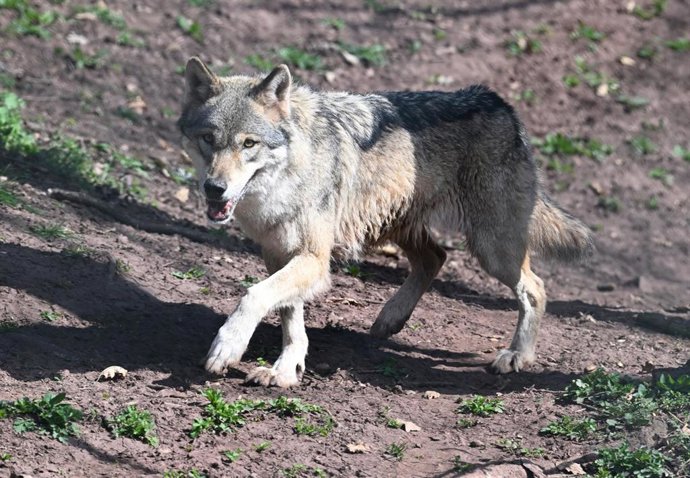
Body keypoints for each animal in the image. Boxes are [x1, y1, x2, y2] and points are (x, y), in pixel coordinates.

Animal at [177, 57, 593, 387]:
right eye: (209, 139)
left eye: (249, 144)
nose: (214, 188)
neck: (289, 174)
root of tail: (500, 103)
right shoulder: (279, 253)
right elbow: (288, 313)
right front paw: (286, 369)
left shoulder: (314, 259)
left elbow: (254, 295)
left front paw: (228, 346)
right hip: (394, 226)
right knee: (435, 258)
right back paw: (391, 318)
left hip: (491, 249)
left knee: (534, 288)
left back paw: (517, 356)